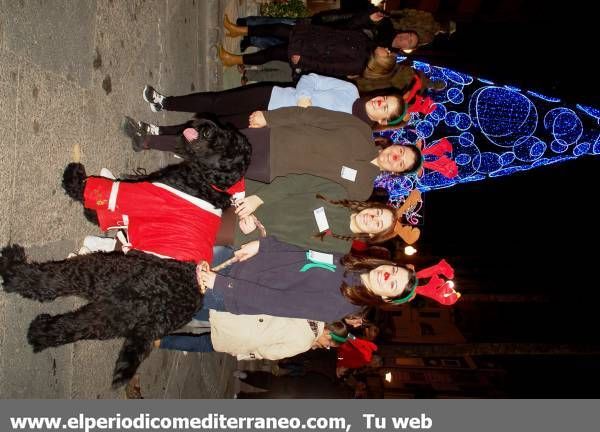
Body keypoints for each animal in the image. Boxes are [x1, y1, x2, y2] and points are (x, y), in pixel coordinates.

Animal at [1, 243, 200, 388]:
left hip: (99, 270)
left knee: (51, 281)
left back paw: (12, 267)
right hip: (109, 309)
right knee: (68, 319)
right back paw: (39, 334)